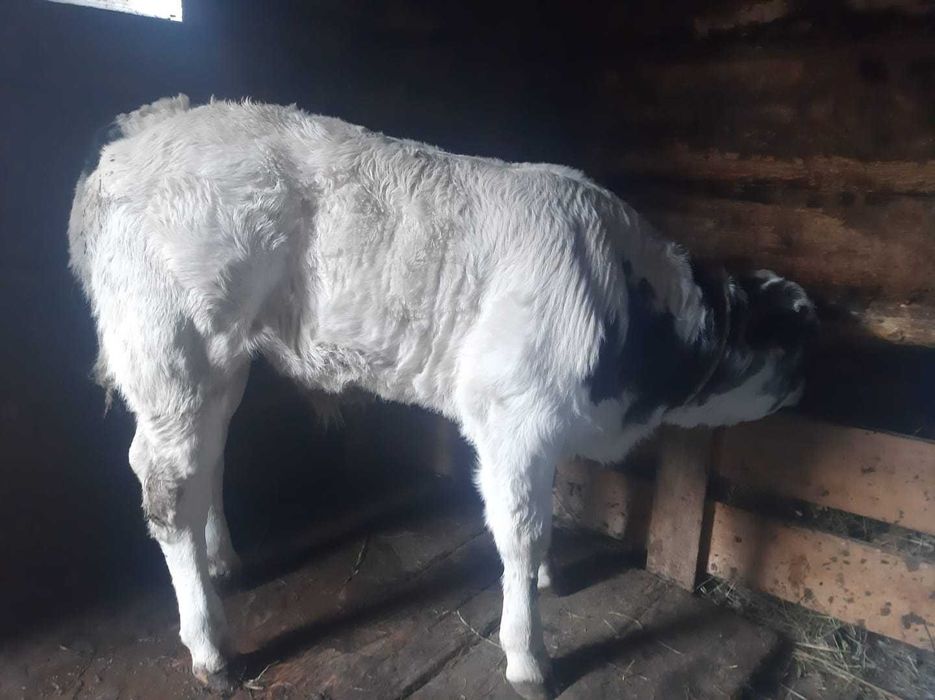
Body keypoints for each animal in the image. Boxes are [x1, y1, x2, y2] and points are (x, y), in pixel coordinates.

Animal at [68, 95, 816, 698]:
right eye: (796, 339)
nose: (812, 382)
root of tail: (141, 130)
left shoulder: (538, 430)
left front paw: (547, 581)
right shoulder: (512, 417)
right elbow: (521, 530)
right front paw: (528, 654)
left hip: (220, 365)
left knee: (208, 460)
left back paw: (222, 561)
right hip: (171, 351)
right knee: (167, 488)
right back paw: (211, 646)